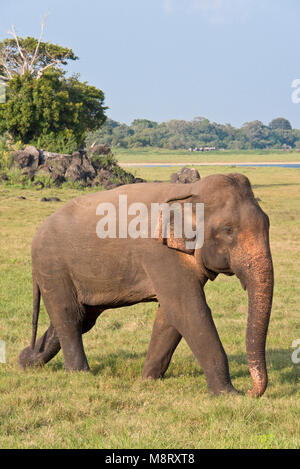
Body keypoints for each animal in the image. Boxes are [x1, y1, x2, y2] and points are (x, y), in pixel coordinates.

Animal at [18, 174, 272, 396]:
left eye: (268, 224)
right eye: (228, 230)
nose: (251, 391)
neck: (188, 192)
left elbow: (170, 316)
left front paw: (148, 380)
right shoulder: (159, 253)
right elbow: (187, 309)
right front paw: (228, 394)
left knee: (82, 318)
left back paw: (26, 360)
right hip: (53, 267)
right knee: (69, 316)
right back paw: (79, 374)